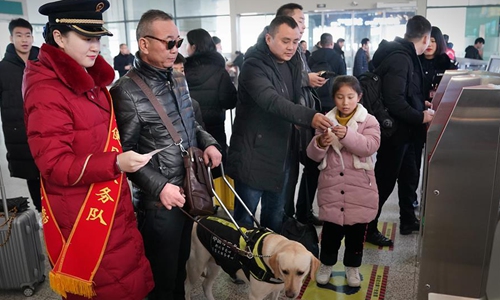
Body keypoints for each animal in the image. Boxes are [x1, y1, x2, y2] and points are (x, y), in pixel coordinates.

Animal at [185, 217, 320, 300]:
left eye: (301, 273)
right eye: (285, 271)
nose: (290, 295)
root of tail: (198, 220)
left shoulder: (275, 292)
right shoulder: (255, 296)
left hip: (214, 265)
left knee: (206, 285)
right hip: (196, 267)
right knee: (187, 286)